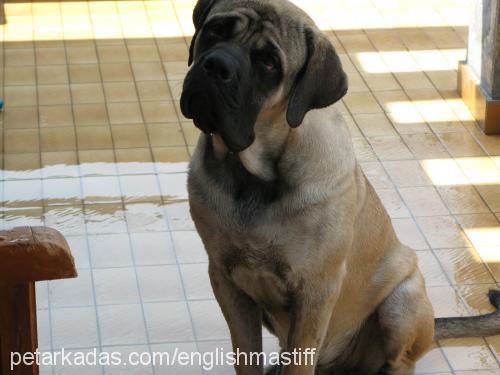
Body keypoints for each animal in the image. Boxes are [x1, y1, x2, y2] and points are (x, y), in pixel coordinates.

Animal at [180, 0, 500, 374]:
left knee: (400, 359)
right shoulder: (226, 279)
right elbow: (246, 354)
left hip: (402, 302)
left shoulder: (315, 290)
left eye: (269, 63)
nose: (217, 66)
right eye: (216, 30)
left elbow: (299, 361)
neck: (251, 177)